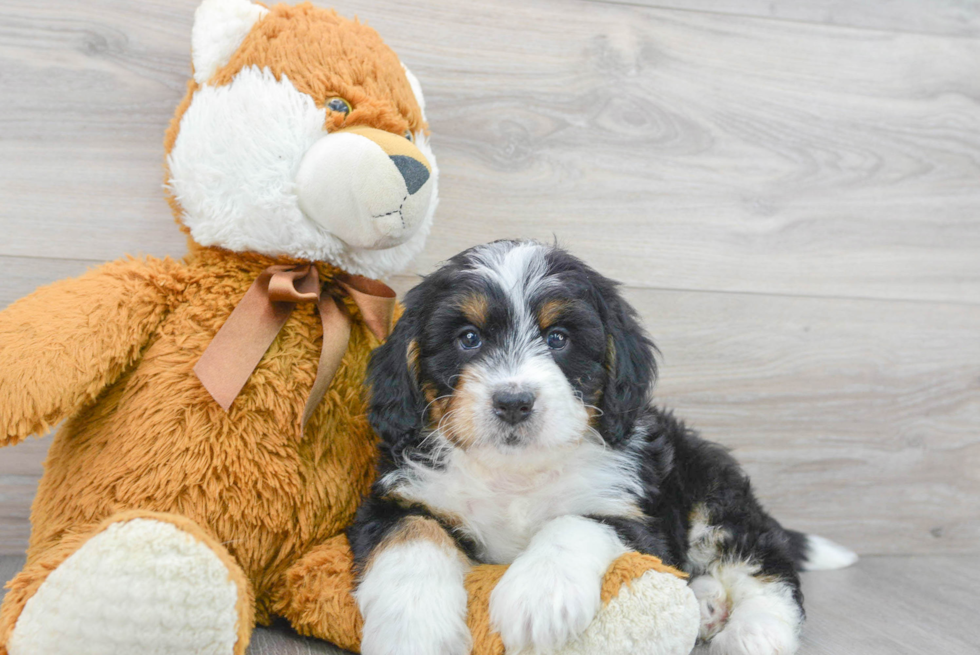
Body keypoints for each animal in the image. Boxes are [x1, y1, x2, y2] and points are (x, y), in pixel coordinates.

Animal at [348, 241, 852, 655]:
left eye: (558, 338)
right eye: (468, 338)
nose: (513, 402)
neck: (515, 472)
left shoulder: (634, 513)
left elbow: (575, 520)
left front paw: (539, 597)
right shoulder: (399, 497)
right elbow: (412, 535)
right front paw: (414, 628)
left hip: (712, 493)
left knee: (764, 564)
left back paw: (756, 631)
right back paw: (706, 603)